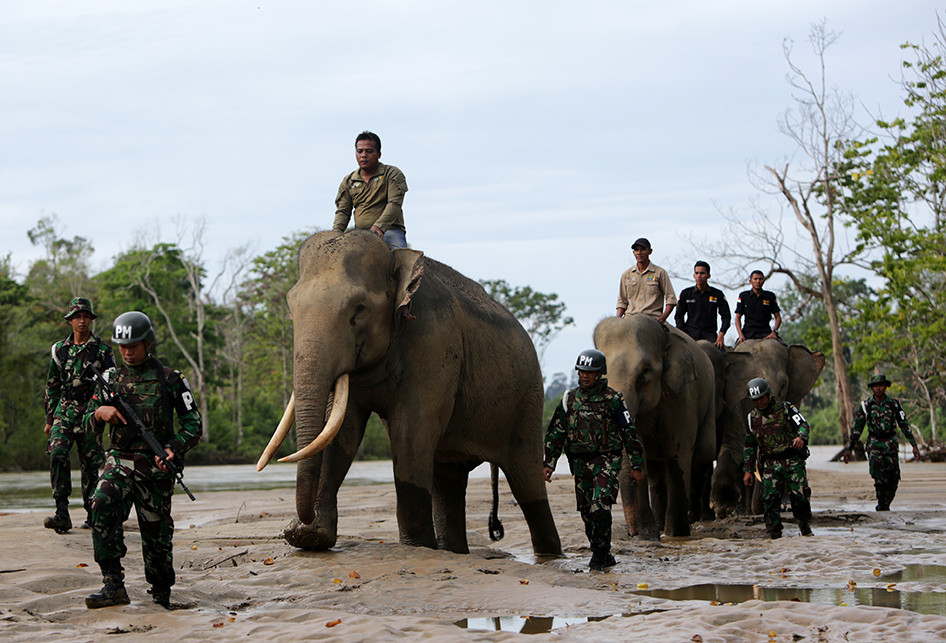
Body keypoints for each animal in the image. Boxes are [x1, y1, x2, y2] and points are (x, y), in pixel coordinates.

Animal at [256, 233, 560, 560]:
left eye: (359, 309)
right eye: (291, 309)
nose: (299, 524)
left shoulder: (434, 341)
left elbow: (411, 431)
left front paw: (416, 546)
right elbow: (341, 432)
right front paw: (310, 537)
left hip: (528, 399)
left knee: (527, 483)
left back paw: (550, 555)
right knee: (448, 480)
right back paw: (453, 552)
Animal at [592, 316, 712, 540]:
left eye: (645, 372)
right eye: (602, 375)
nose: (632, 533)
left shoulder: (681, 396)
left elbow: (677, 456)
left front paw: (676, 534)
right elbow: (638, 451)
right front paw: (648, 536)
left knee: (703, 455)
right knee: (656, 473)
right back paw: (660, 525)